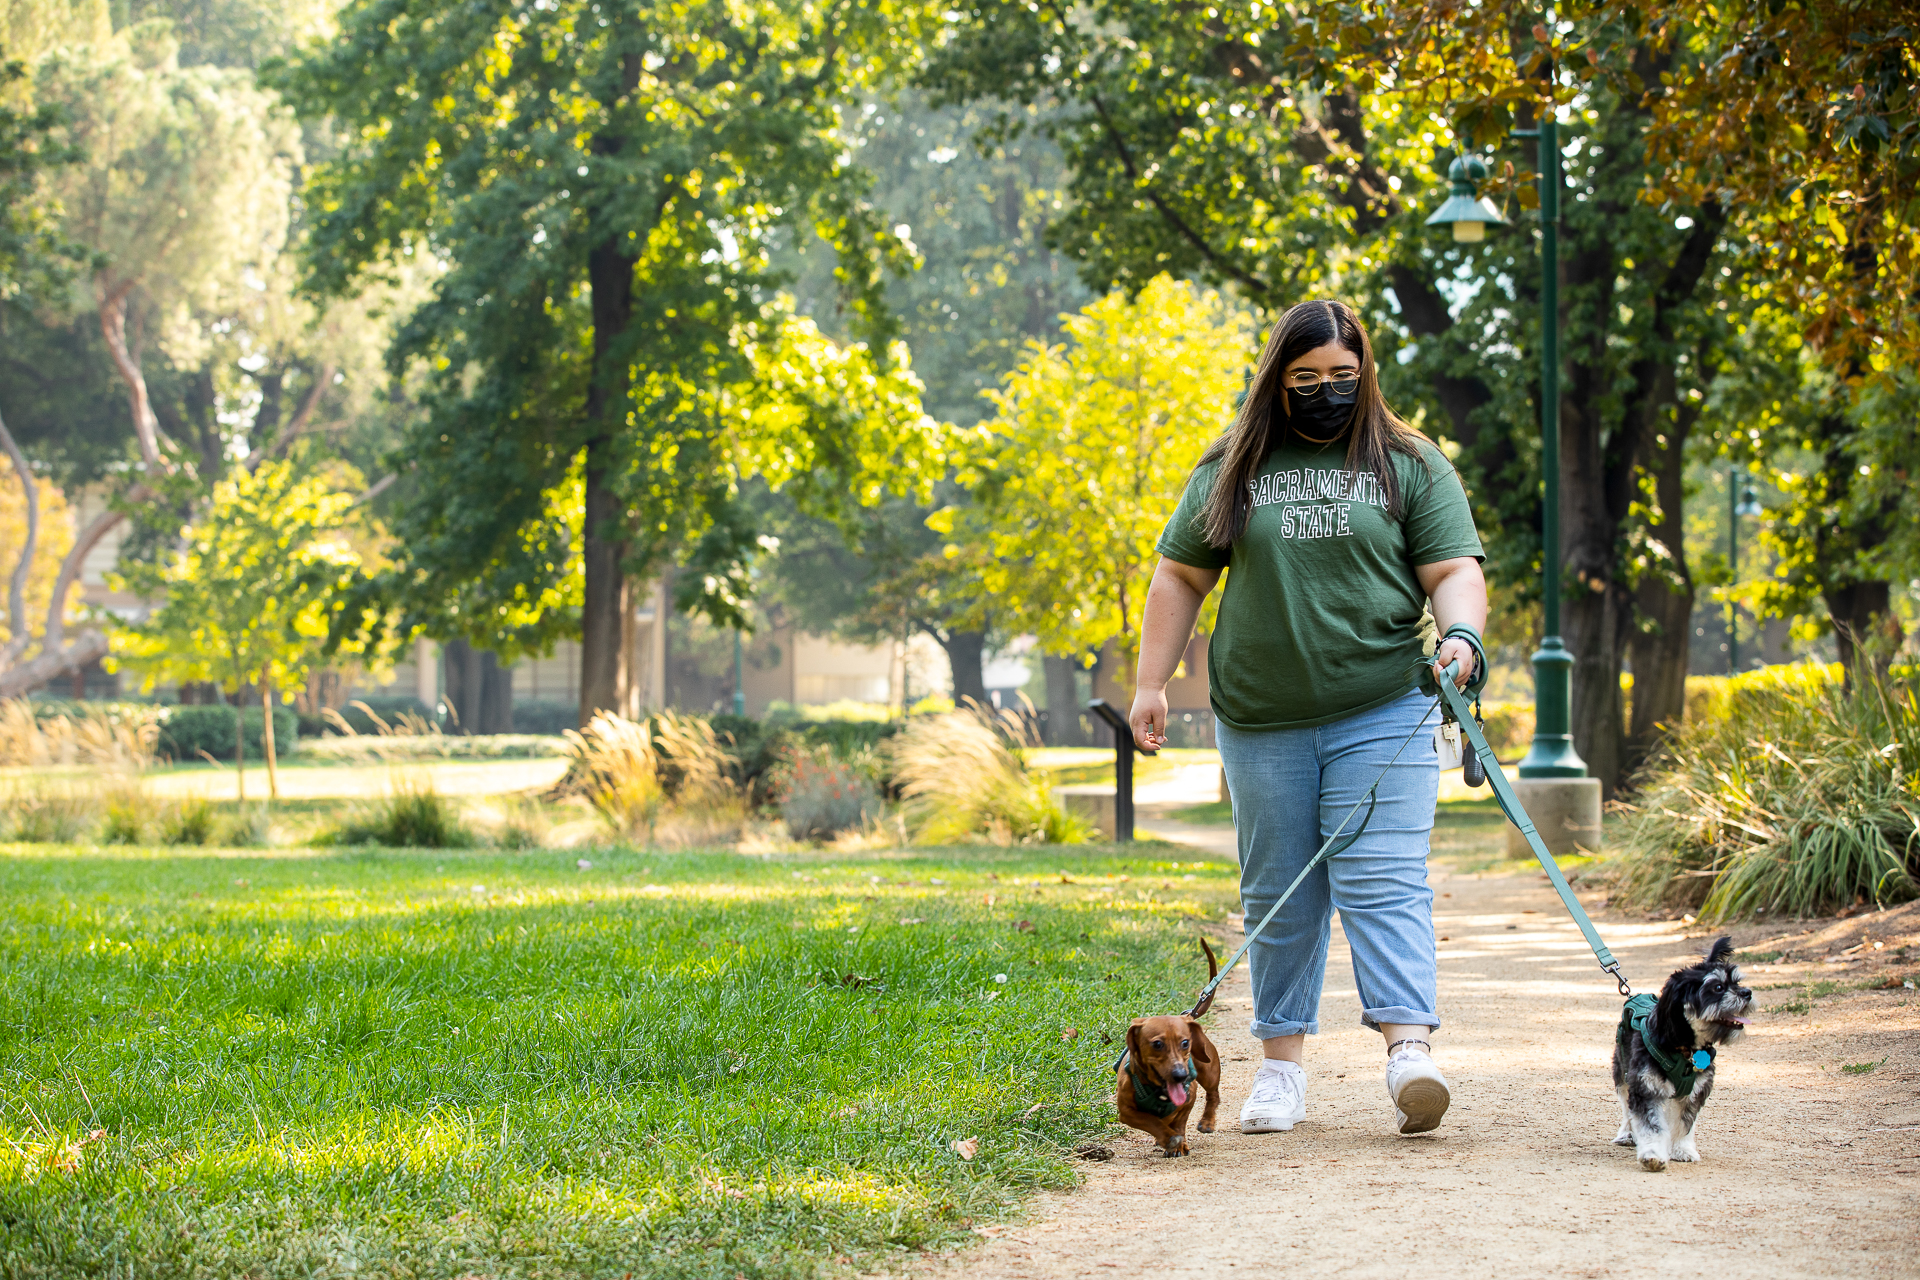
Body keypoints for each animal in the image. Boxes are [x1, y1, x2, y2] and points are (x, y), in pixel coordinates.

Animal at [1605, 932, 1758, 1174]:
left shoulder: (1694, 1092)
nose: (1747, 992)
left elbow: (1685, 1123)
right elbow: (1651, 1126)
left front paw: (1681, 1150)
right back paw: (1627, 1133)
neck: (1684, 1047)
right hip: (1622, 1072)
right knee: (1627, 1107)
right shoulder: (1646, 1088)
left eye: (1737, 982)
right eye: (1717, 988)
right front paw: (1652, 1154)